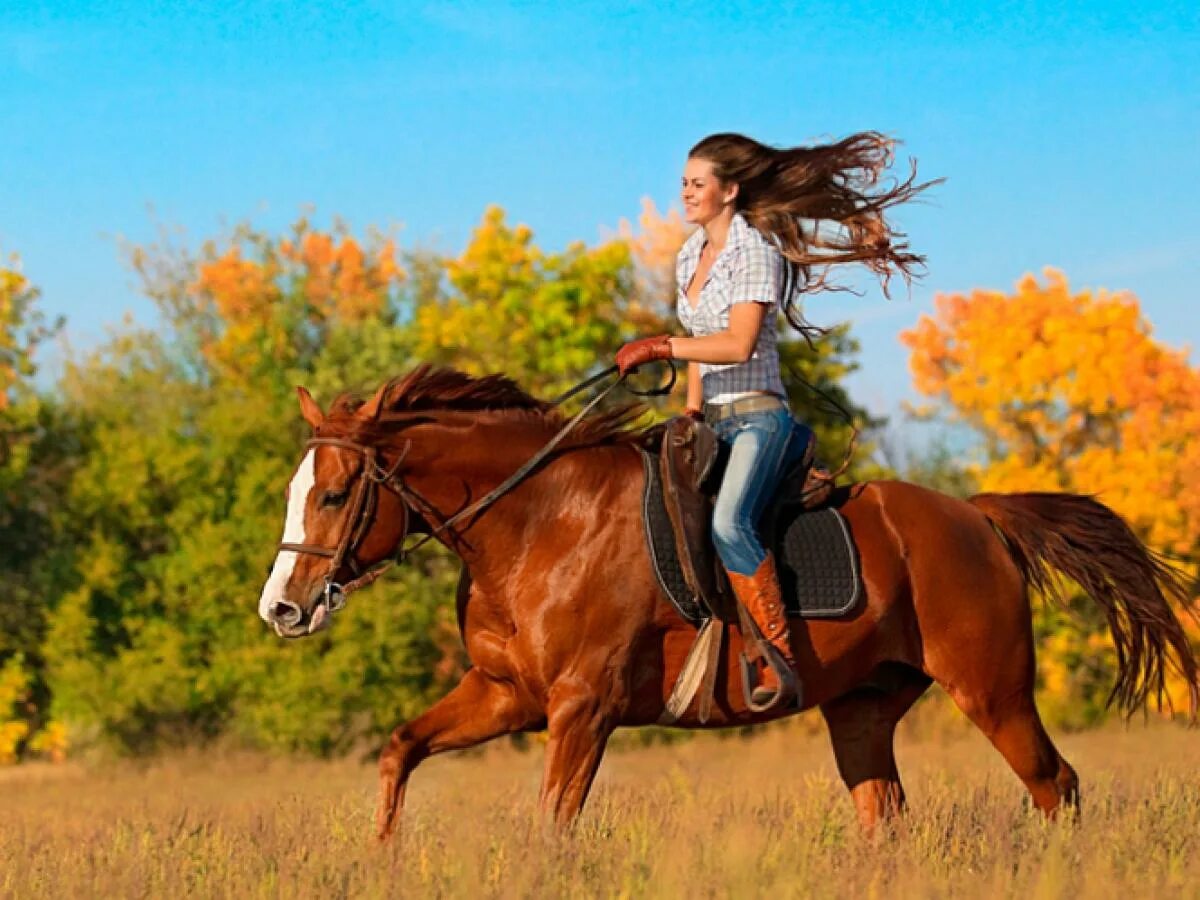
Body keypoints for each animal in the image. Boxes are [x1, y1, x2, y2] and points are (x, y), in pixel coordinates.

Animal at [258, 364, 1195, 840]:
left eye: (335, 495)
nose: (282, 610)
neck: (538, 524)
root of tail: (978, 515)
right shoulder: (505, 696)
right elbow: (399, 752)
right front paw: (382, 859)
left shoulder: (582, 708)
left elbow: (552, 827)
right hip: (861, 710)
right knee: (885, 815)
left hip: (994, 693)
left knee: (1056, 786)